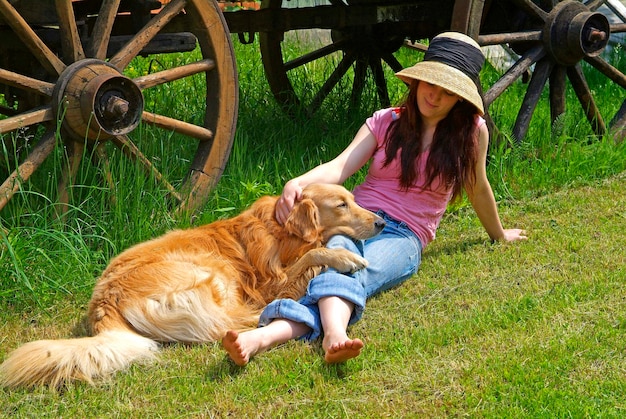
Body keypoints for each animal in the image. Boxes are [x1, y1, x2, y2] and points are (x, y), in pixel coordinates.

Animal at [1, 185, 386, 388]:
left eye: (353, 199)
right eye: (341, 205)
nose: (382, 223)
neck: (283, 232)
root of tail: (103, 303)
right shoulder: (270, 285)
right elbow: (312, 257)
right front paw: (342, 257)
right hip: (210, 273)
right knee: (243, 320)